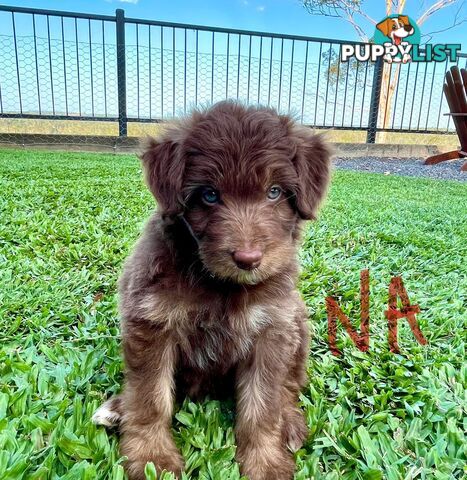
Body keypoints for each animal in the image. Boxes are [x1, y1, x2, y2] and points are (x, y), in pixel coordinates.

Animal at [92, 102, 332, 480]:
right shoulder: (152, 323)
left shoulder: (272, 329)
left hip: (297, 323)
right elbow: (149, 398)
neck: (220, 284)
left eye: (274, 192)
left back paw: (290, 423)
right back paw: (117, 407)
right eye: (209, 195)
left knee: (289, 386)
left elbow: (262, 405)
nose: (248, 259)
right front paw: (153, 459)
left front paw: (265, 461)